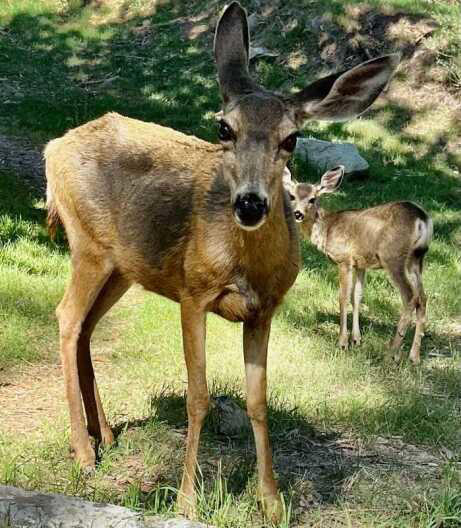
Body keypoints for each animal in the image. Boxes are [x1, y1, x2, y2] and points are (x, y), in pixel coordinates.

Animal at [45, 1, 398, 520]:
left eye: (292, 139)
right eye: (223, 128)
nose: (250, 204)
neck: (246, 267)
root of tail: (54, 147)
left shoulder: (265, 311)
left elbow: (258, 401)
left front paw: (272, 501)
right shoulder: (193, 293)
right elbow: (198, 396)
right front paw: (187, 500)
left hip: (124, 267)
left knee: (86, 326)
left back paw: (104, 434)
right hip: (87, 245)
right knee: (67, 317)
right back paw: (84, 451)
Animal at [284, 167, 432, 366]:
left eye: (312, 199)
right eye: (292, 196)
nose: (298, 213)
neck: (326, 229)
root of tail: (422, 219)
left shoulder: (344, 259)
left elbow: (343, 297)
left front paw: (342, 342)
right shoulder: (361, 263)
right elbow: (357, 297)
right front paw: (356, 339)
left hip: (393, 257)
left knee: (410, 296)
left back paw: (391, 352)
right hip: (416, 259)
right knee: (422, 297)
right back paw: (414, 356)